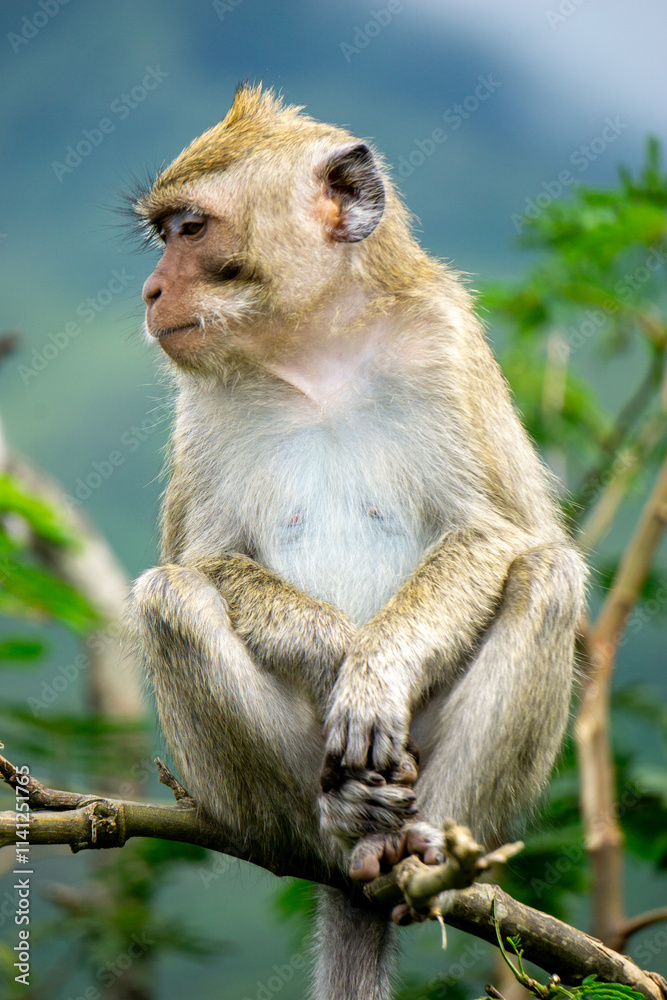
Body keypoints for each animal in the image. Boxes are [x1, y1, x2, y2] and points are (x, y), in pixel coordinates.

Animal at [127, 84, 586, 1000]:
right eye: (164, 236)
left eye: (190, 229)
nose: (153, 292)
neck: (314, 350)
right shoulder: (201, 400)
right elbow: (200, 561)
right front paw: (337, 651)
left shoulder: (443, 343)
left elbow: (494, 530)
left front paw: (375, 669)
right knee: (171, 597)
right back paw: (342, 825)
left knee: (545, 574)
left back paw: (421, 847)